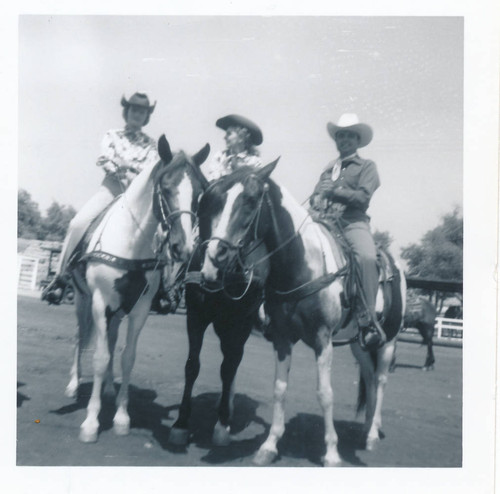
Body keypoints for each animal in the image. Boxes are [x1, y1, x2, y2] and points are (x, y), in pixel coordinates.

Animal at [65, 136, 209, 444]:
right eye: (165, 188)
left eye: (199, 193)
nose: (183, 247)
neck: (130, 242)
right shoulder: (99, 301)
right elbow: (99, 357)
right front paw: (91, 423)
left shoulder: (139, 308)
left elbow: (126, 357)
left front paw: (121, 417)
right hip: (83, 300)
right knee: (81, 337)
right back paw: (73, 384)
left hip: (118, 311)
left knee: (110, 338)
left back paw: (108, 387)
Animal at [199, 163, 406, 466]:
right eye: (215, 202)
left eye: (250, 200)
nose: (215, 257)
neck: (302, 265)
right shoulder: (282, 338)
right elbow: (279, 388)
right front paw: (269, 445)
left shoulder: (323, 339)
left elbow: (325, 393)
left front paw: (331, 452)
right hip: (359, 343)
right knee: (369, 378)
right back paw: (367, 428)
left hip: (388, 339)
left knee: (380, 381)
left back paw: (371, 435)